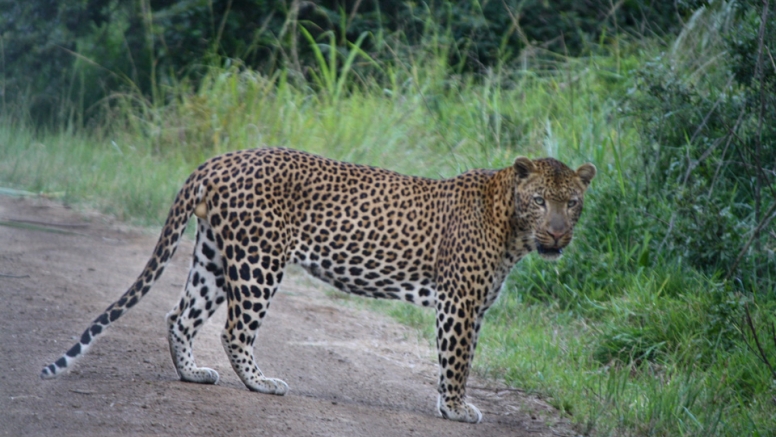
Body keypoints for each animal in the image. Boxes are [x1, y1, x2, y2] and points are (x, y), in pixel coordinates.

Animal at [39, 146, 596, 422]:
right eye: (540, 200)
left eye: (572, 203)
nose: (557, 234)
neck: (512, 226)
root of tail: (219, 160)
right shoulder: (459, 302)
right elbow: (457, 361)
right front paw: (457, 410)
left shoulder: (472, 307)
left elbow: (454, 360)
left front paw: (448, 405)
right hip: (259, 260)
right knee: (235, 329)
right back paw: (261, 383)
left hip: (215, 257)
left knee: (180, 316)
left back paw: (193, 374)